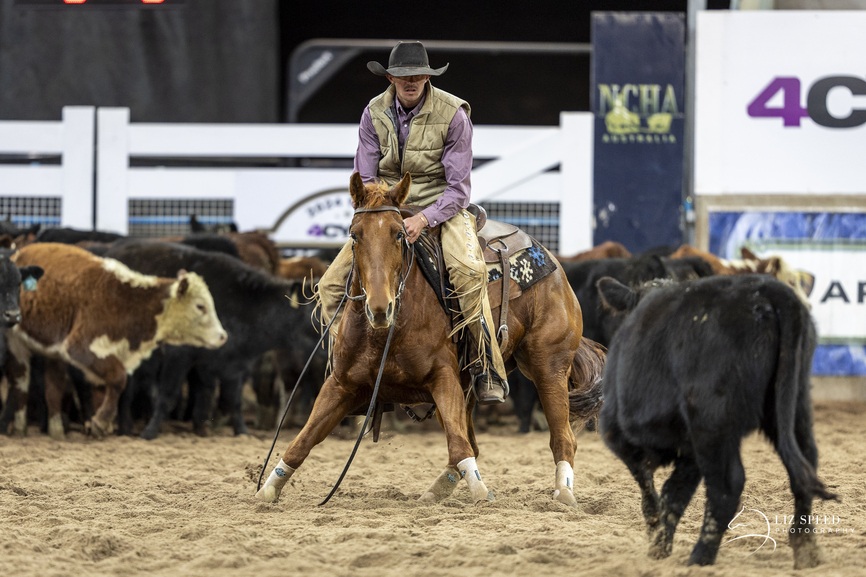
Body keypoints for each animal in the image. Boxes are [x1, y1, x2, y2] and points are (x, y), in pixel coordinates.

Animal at [0, 243, 227, 439]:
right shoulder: (80, 347)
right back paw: (19, 429)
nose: (222, 336)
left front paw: (99, 423)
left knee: (53, 388)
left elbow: (106, 388)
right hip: (16, 343)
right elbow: (119, 379)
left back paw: (56, 431)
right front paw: (101, 422)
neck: (127, 301)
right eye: (200, 306)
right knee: (20, 383)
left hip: (53, 353)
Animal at [256, 172, 606, 507]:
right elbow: (301, 442)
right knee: (472, 442)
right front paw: (266, 491)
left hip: (548, 366)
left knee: (562, 438)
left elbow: (459, 445)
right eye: (354, 235)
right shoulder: (341, 384)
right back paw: (435, 493)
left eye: (399, 234)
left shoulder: (443, 378)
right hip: (473, 386)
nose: (380, 308)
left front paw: (481, 493)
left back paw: (564, 495)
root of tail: (549, 259)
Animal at [596, 273, 836, 569]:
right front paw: (661, 545)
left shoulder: (617, 434)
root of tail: (767, 286)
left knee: (727, 484)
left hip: (711, 420)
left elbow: (650, 489)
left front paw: (656, 538)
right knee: (805, 465)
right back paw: (806, 551)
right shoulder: (688, 449)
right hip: (794, 405)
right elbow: (673, 494)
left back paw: (700, 558)